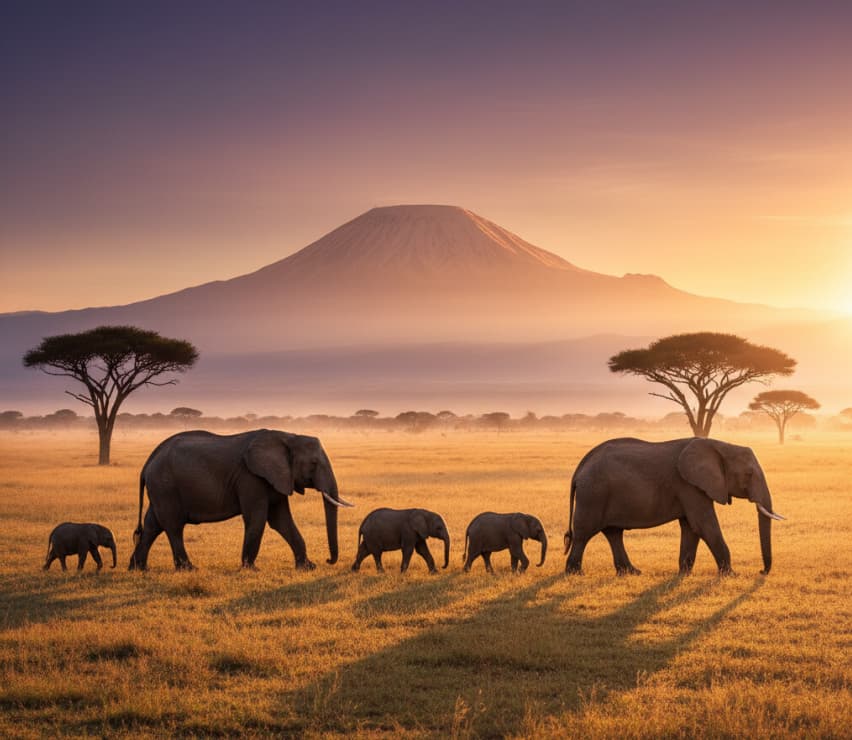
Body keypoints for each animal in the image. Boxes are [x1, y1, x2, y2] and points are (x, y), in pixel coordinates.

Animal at [128, 429, 352, 571]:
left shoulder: (276, 478)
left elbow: (281, 521)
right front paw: (251, 569)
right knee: (173, 526)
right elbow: (258, 519)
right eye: (313, 464)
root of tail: (147, 462)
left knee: (153, 524)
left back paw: (138, 568)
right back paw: (189, 569)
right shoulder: (250, 478)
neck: (288, 436)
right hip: (165, 486)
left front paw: (307, 567)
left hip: (161, 488)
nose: (328, 560)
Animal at [564, 437, 785, 576]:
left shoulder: (692, 487)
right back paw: (576, 573)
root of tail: (580, 468)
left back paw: (631, 572)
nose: (761, 571)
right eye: (748, 474)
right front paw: (731, 575)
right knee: (584, 533)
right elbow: (704, 525)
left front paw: (683, 574)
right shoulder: (689, 485)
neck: (720, 445)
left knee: (613, 533)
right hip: (593, 494)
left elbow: (691, 528)